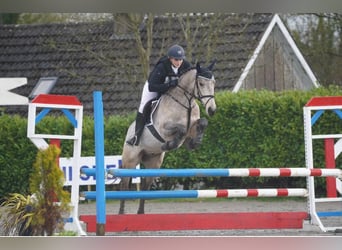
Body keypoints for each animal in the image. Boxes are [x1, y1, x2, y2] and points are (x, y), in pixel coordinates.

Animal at [119, 61, 216, 214]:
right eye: (200, 83)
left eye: (213, 83)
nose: (212, 110)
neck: (185, 102)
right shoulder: (163, 129)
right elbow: (181, 129)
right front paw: (168, 145)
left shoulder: (192, 127)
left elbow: (202, 123)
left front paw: (196, 142)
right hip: (130, 161)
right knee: (124, 185)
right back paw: (121, 213)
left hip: (153, 164)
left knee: (145, 186)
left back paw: (141, 213)